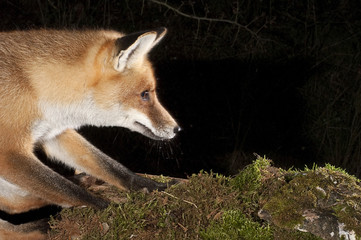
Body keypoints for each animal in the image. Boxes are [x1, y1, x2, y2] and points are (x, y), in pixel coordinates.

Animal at [0, 27, 180, 238]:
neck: (33, 87)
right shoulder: (9, 153)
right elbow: (73, 192)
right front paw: (113, 212)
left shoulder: (54, 134)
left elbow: (112, 168)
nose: (176, 129)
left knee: (16, 204)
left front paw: (154, 187)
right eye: (145, 94)